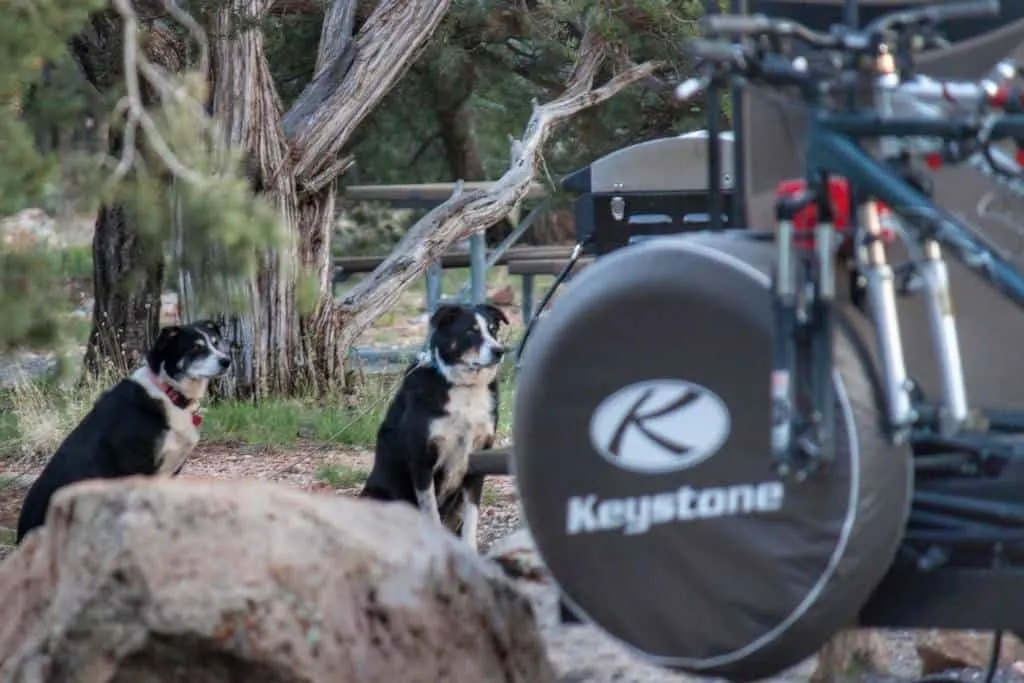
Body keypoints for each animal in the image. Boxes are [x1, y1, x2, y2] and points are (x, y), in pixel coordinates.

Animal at [362, 303, 509, 548]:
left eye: (493, 329)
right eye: (470, 331)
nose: (500, 351)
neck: (464, 387)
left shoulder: (479, 457)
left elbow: (471, 516)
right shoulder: (422, 457)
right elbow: (430, 513)